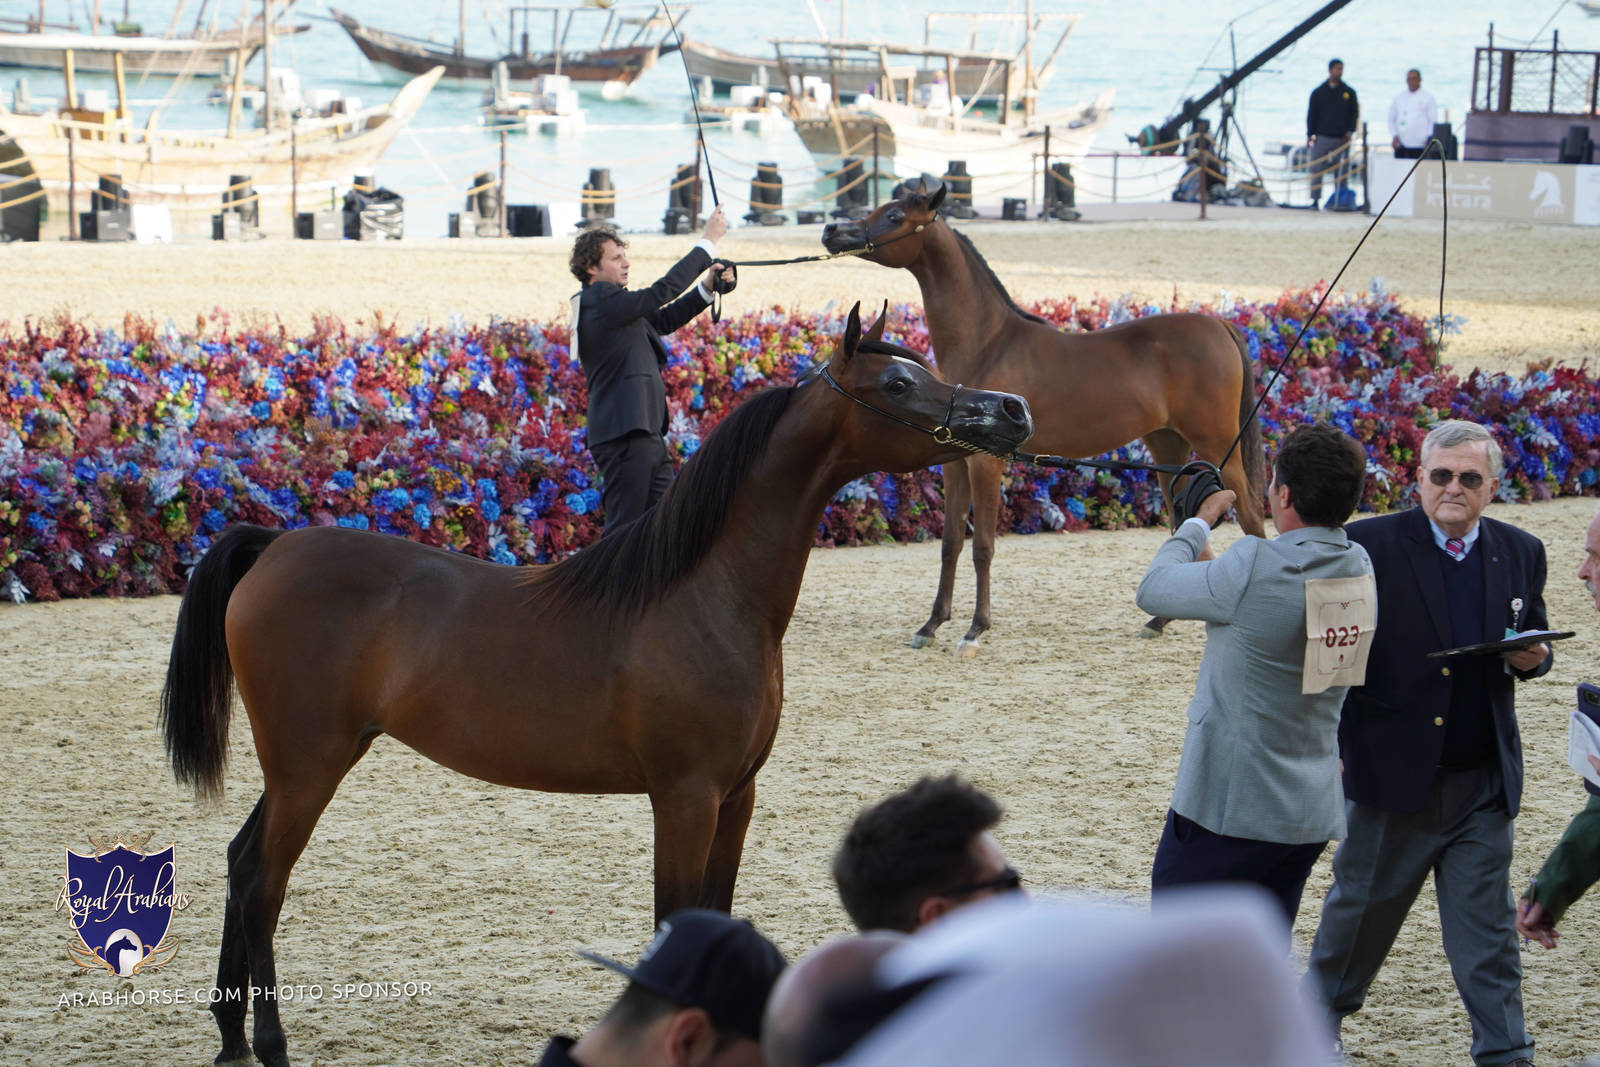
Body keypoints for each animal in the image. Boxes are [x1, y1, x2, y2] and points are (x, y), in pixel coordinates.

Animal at [159, 304, 1033, 1067]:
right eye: (897, 384)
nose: (1012, 409)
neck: (706, 594)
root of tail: (275, 546)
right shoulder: (684, 797)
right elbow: (675, 918)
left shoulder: (737, 796)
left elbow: (717, 914)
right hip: (310, 765)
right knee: (263, 882)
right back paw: (270, 1043)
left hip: (300, 766)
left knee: (239, 862)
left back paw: (230, 1037)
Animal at [821, 180, 1267, 653]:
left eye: (893, 216)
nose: (832, 229)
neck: (988, 342)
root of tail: (1220, 325)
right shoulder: (955, 464)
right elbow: (950, 542)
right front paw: (931, 624)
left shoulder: (986, 462)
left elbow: (982, 545)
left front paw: (975, 628)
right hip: (1171, 448)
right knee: (1183, 521)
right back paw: (1159, 620)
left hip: (1218, 446)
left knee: (1251, 515)